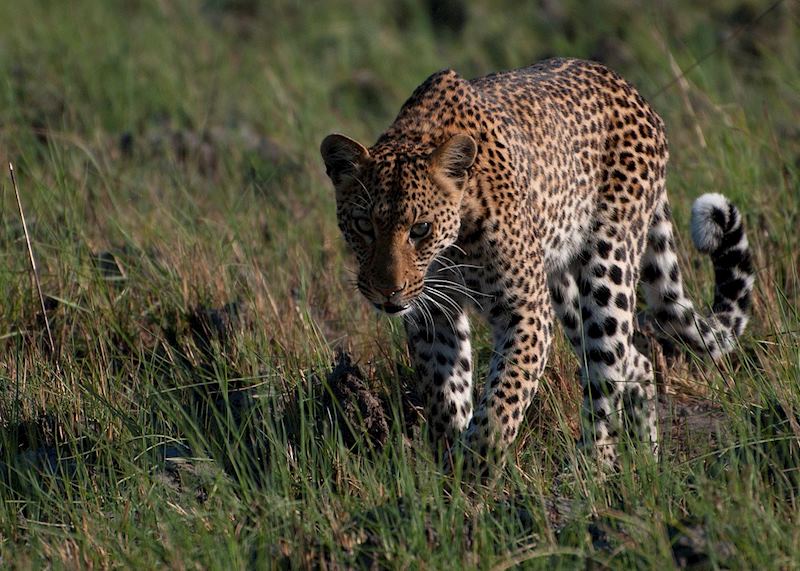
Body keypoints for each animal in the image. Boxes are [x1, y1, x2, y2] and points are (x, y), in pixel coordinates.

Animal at [320, 58, 754, 476]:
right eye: (363, 226)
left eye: (420, 229)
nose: (388, 291)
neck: (452, 244)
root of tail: (628, 87)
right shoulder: (435, 316)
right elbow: (445, 394)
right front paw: (451, 466)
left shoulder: (525, 309)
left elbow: (504, 399)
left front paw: (476, 466)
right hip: (565, 290)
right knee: (635, 360)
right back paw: (647, 459)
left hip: (608, 268)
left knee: (605, 373)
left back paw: (592, 468)